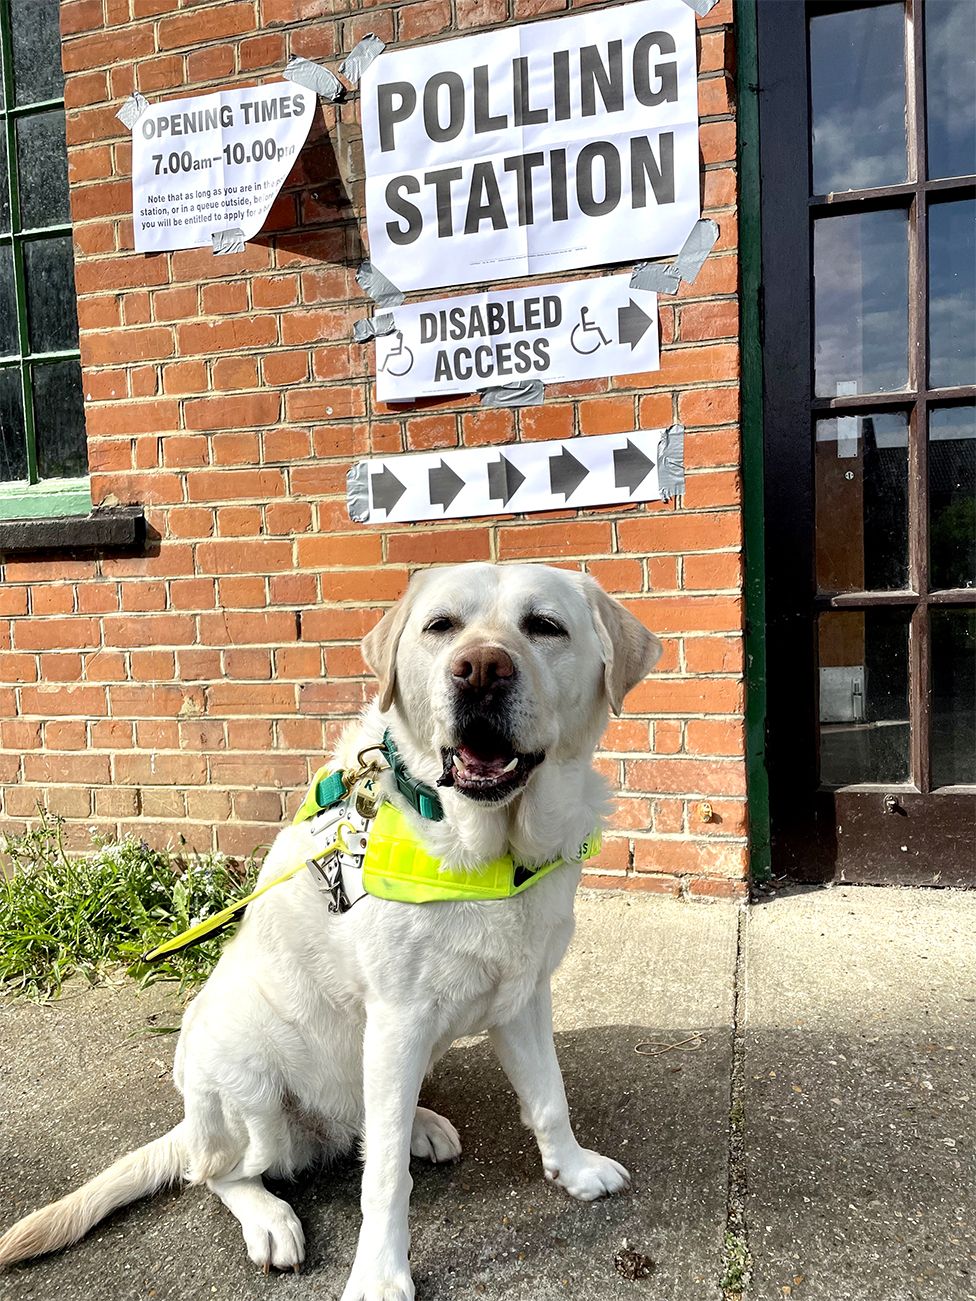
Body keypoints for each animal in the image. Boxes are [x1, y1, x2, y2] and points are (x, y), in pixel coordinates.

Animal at [0, 564, 666, 1301]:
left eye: (545, 626)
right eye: (441, 626)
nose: (480, 670)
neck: (486, 852)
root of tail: (192, 1122)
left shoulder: (522, 997)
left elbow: (549, 1099)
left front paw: (574, 1170)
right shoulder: (400, 1016)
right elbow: (384, 1181)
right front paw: (379, 1273)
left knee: (368, 1123)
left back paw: (417, 1125)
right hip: (252, 1083)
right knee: (221, 1172)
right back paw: (269, 1215)